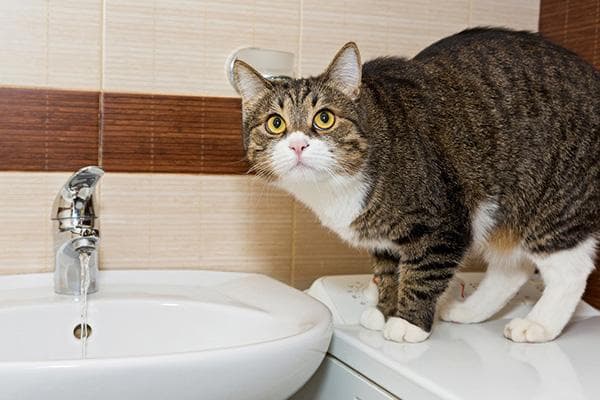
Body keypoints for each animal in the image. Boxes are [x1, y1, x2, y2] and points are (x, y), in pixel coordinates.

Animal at [233, 28, 600, 342]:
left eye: (324, 118)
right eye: (275, 124)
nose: (297, 145)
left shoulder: (443, 222)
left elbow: (422, 273)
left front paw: (407, 323)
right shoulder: (383, 239)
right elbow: (389, 272)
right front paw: (384, 310)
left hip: (555, 201)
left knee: (571, 269)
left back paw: (538, 325)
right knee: (512, 268)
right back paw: (467, 312)